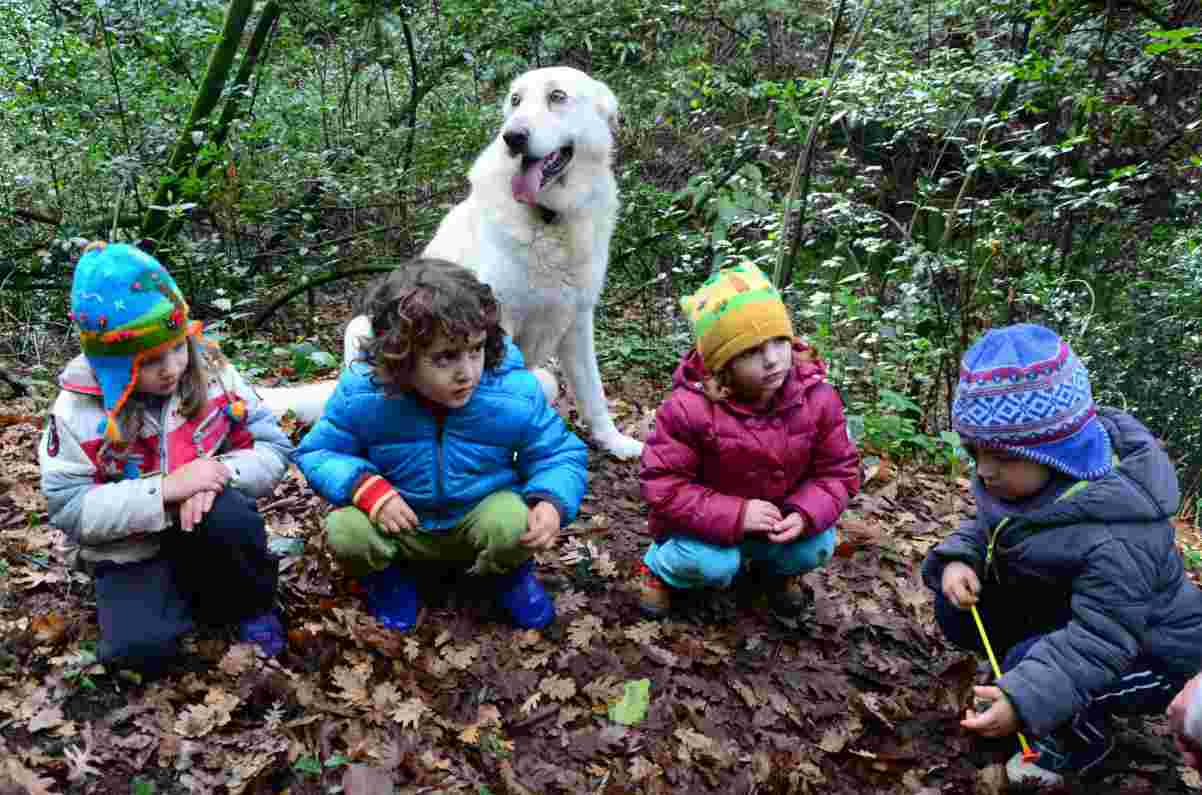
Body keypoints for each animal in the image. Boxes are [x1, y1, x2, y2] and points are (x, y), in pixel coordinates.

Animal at [338, 66, 644, 459]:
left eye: (557, 96)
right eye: (515, 100)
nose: (512, 137)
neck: (548, 218)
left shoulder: (578, 322)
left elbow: (594, 391)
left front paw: (614, 441)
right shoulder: (499, 320)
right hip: (360, 327)